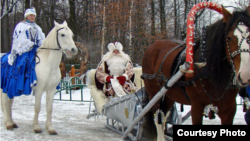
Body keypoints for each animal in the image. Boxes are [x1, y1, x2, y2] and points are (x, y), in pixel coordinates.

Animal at [142, 6, 250, 139]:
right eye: (229, 37)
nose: (245, 75)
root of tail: (153, 45)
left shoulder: (229, 109)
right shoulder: (197, 107)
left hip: (169, 94)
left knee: (163, 117)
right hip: (153, 93)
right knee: (158, 118)